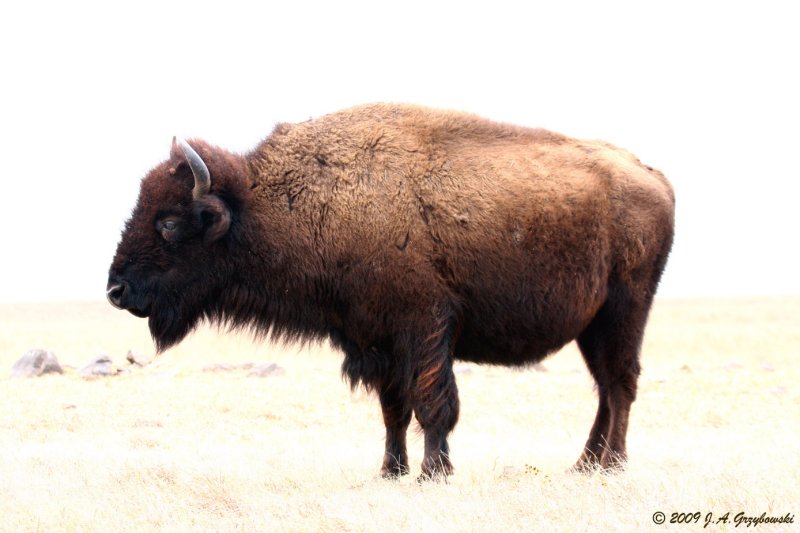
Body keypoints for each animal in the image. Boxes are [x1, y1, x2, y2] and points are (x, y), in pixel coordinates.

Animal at [108, 102, 676, 476]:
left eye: (169, 223)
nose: (116, 289)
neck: (272, 202)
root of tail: (654, 177)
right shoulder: (374, 339)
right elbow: (393, 408)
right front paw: (391, 470)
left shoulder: (423, 328)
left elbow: (432, 402)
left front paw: (433, 473)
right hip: (592, 325)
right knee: (606, 388)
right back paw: (585, 464)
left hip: (625, 311)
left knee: (620, 384)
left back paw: (611, 465)